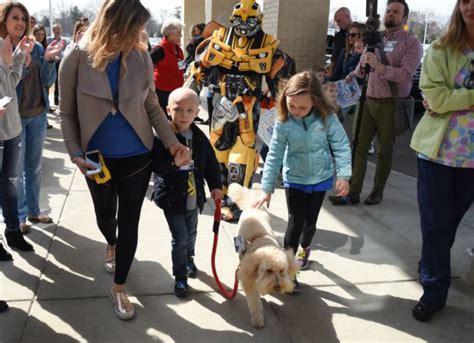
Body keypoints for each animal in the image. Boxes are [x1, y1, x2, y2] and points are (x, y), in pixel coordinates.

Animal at [228, 184, 298, 330]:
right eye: (268, 270)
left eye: (282, 271)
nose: (277, 288)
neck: (262, 240)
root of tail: (252, 203)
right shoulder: (248, 277)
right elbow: (255, 302)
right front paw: (258, 319)